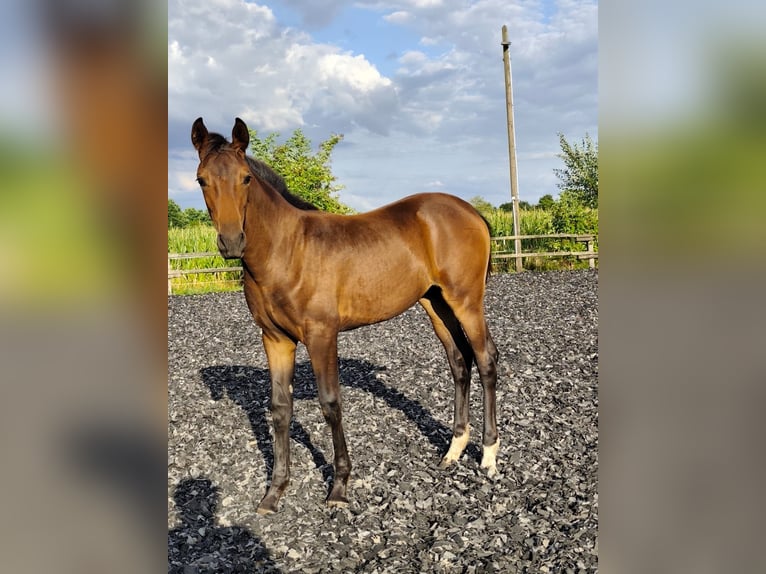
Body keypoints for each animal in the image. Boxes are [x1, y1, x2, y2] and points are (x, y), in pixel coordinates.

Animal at [191, 117, 499, 514]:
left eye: (245, 178)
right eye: (202, 180)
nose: (231, 242)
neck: (286, 250)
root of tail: (470, 211)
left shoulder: (322, 335)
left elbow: (330, 403)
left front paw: (339, 487)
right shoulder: (275, 339)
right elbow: (280, 408)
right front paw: (274, 492)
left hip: (466, 301)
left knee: (485, 359)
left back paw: (489, 455)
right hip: (436, 303)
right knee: (460, 361)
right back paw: (454, 449)